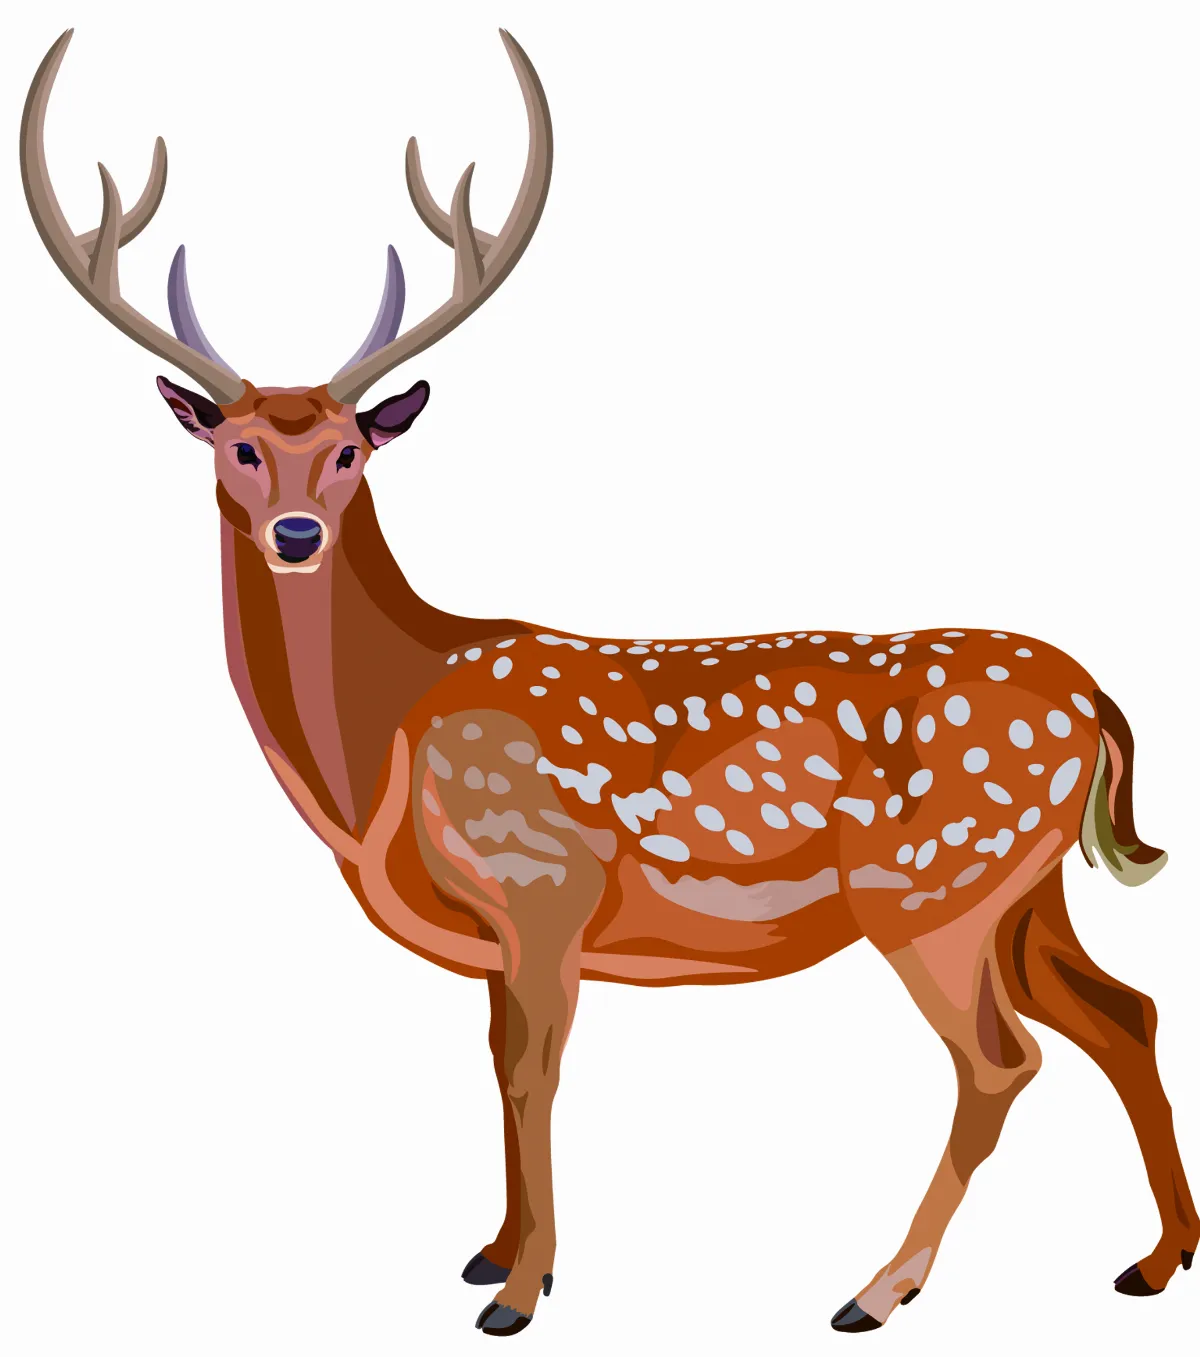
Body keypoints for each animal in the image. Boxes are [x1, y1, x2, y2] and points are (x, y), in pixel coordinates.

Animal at [21, 26, 1196, 1339]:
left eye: (349, 451)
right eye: (236, 446)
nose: (293, 533)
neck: (387, 742)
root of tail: (1097, 702)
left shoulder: (541, 885)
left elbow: (536, 1076)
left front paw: (518, 1295)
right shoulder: (501, 941)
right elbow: (495, 1067)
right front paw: (493, 1252)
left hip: (931, 884)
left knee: (1002, 1058)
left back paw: (876, 1288)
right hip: (1026, 889)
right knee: (1127, 1011)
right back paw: (1156, 1259)